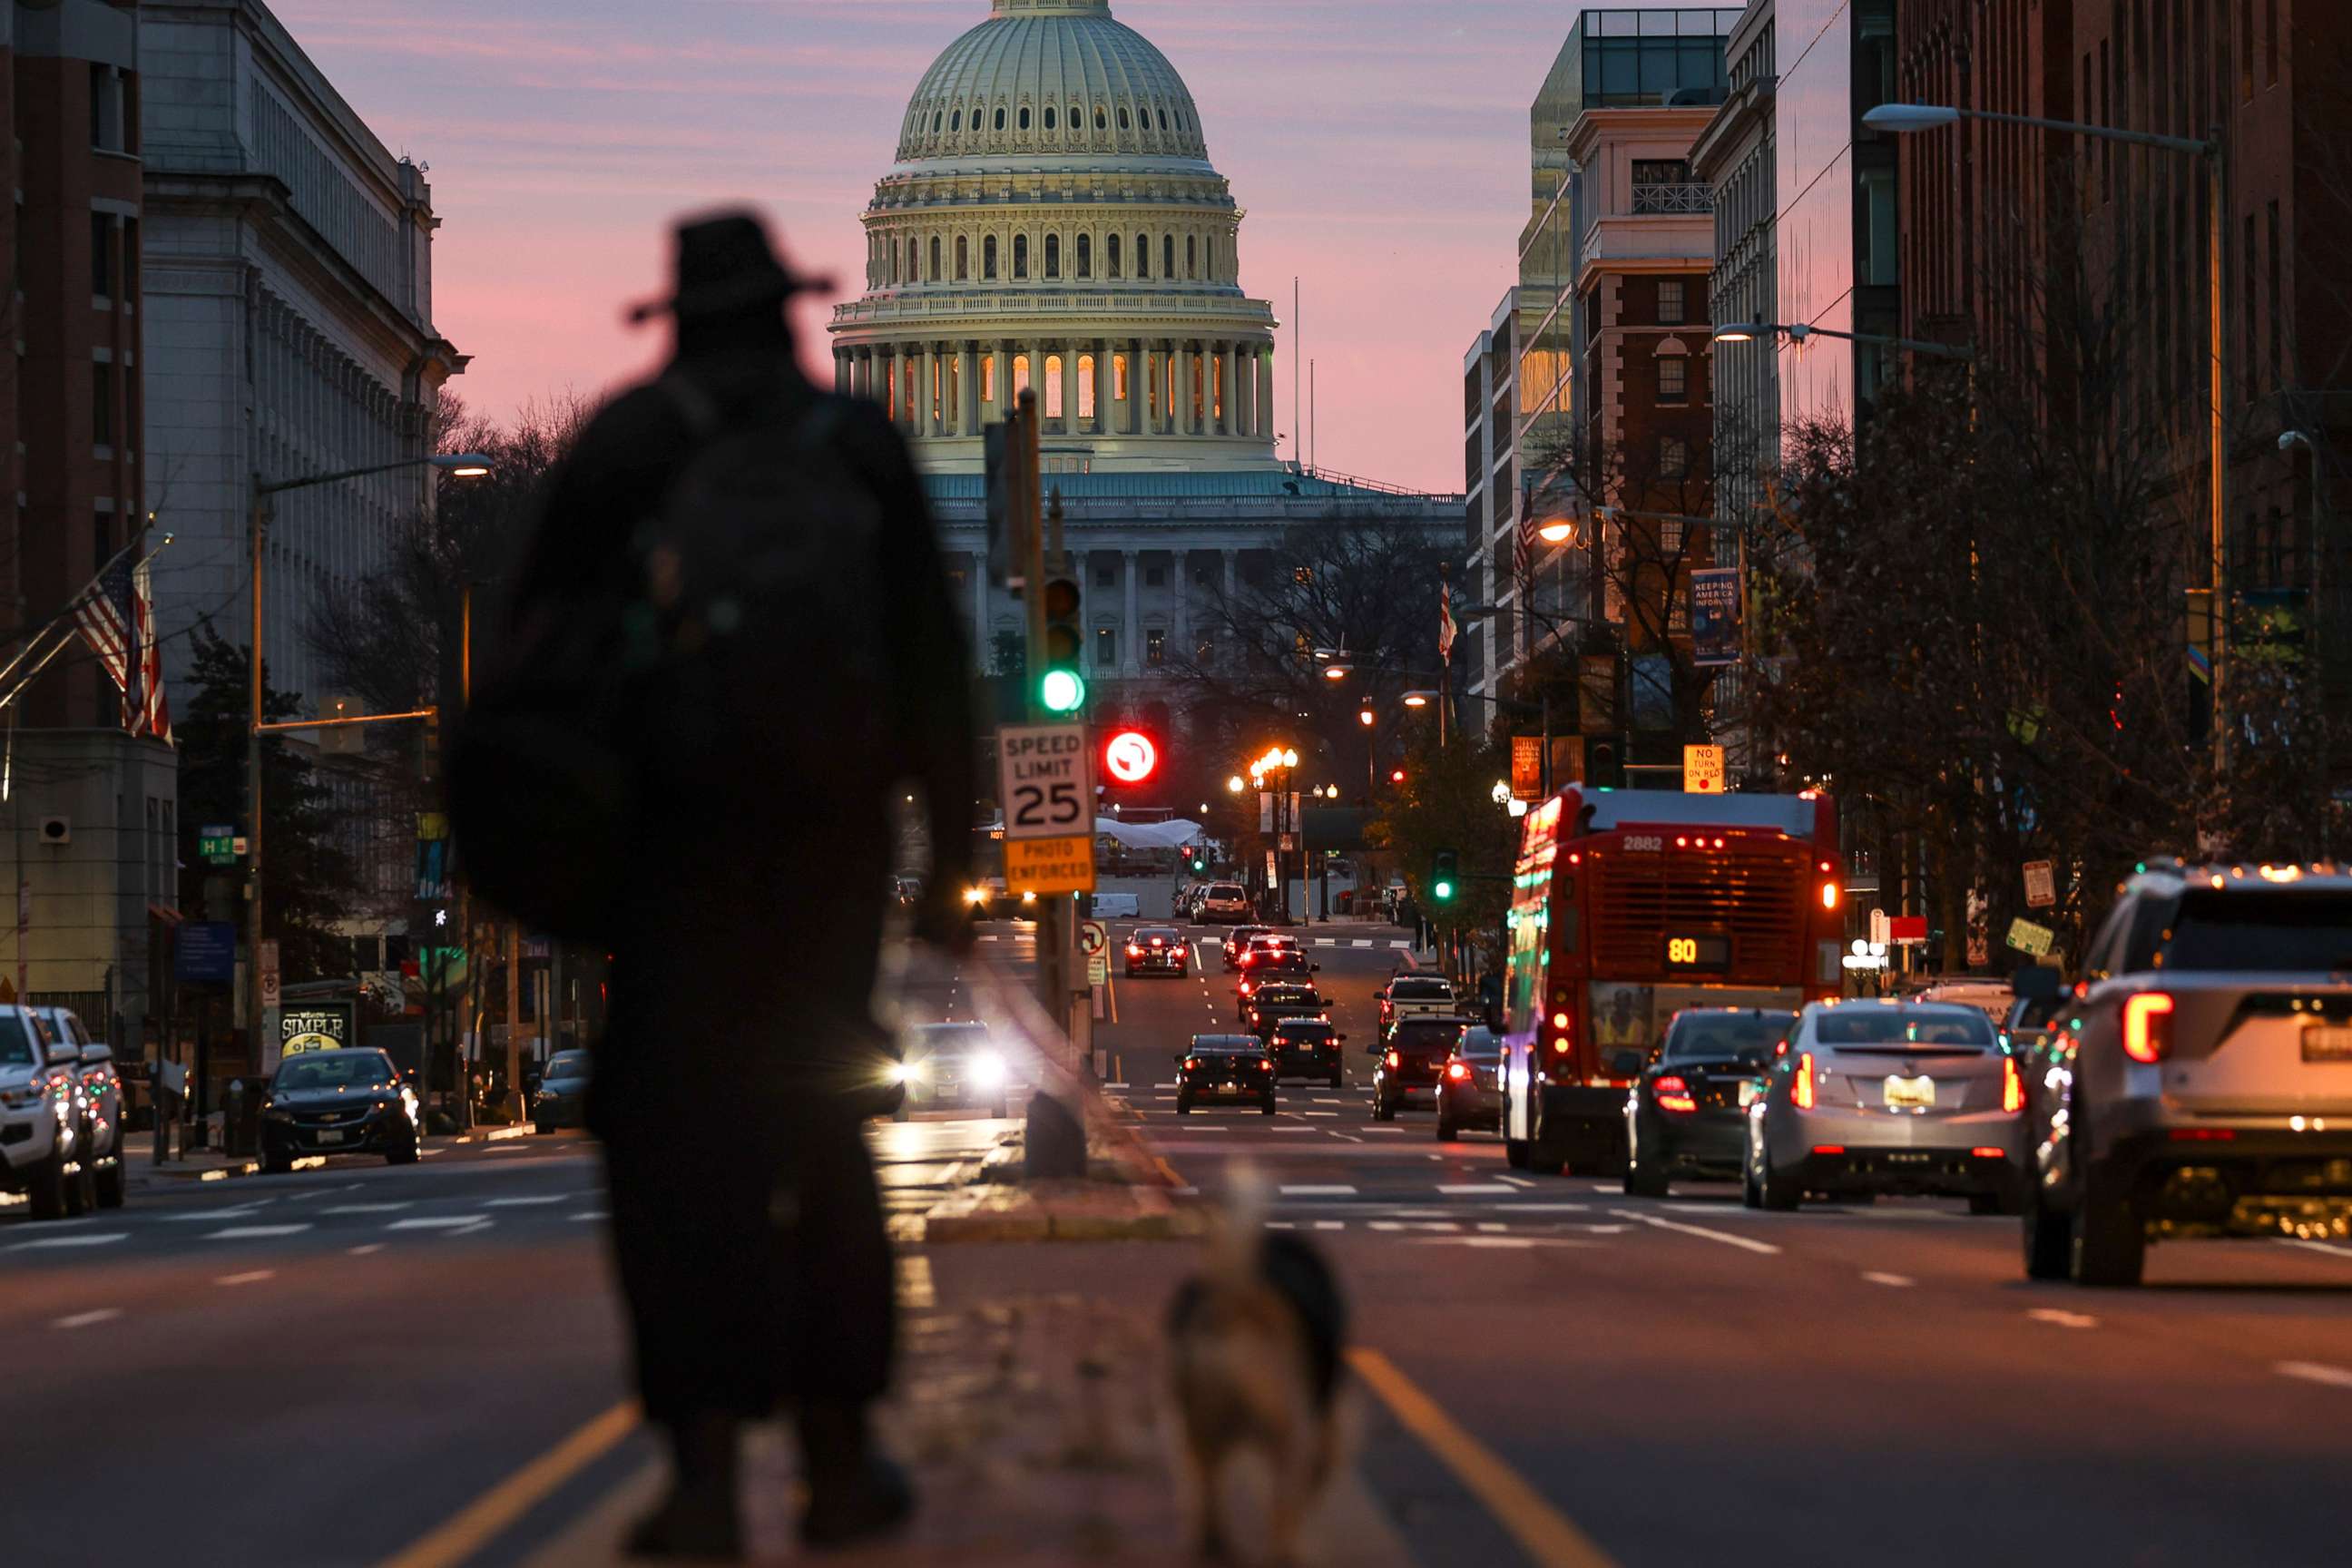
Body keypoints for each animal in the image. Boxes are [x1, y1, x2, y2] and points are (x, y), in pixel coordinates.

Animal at [1161, 1184, 1345, 1561]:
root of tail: (1236, 1300)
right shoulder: (1316, 1435)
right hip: (1287, 1435)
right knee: (1275, 1511)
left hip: (1199, 1432)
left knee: (1206, 1502)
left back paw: (1214, 1545)